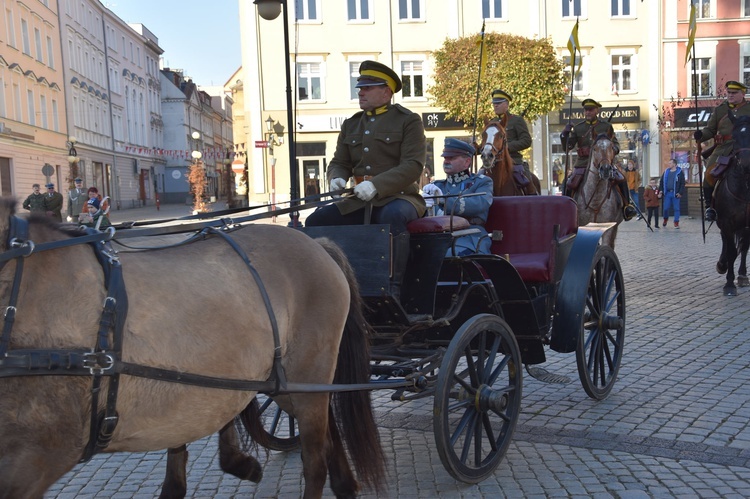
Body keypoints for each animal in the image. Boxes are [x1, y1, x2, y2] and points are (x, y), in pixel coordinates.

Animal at [0, 200, 388, 499]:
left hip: (303, 377)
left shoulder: (37, 456)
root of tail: (317, 245)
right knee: (327, 428)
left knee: (315, 460)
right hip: (286, 384)